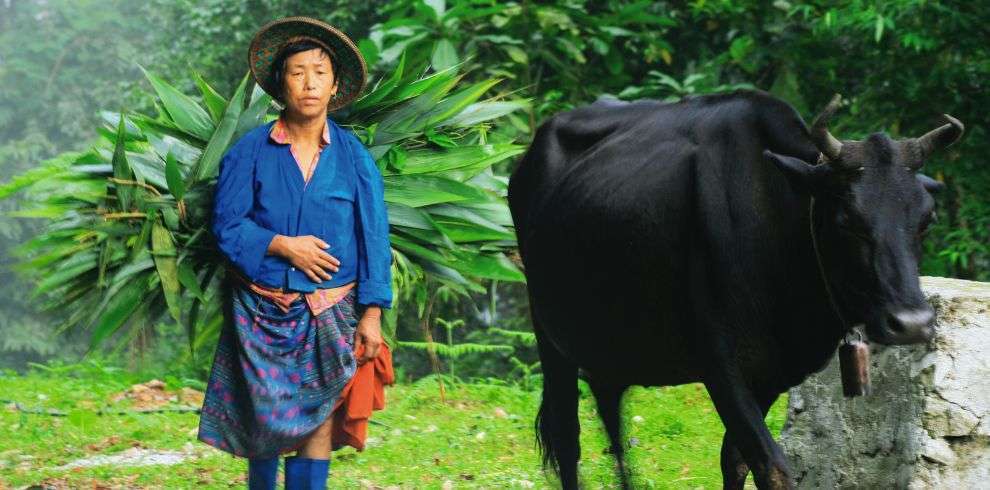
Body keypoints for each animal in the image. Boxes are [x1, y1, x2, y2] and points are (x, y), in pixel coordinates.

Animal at [512, 90, 968, 488]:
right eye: (847, 219)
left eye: (926, 219)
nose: (911, 323)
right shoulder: (721, 366)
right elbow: (772, 466)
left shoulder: (771, 375)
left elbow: (735, 459)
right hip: (548, 333)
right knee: (567, 438)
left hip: (610, 343)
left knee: (610, 415)